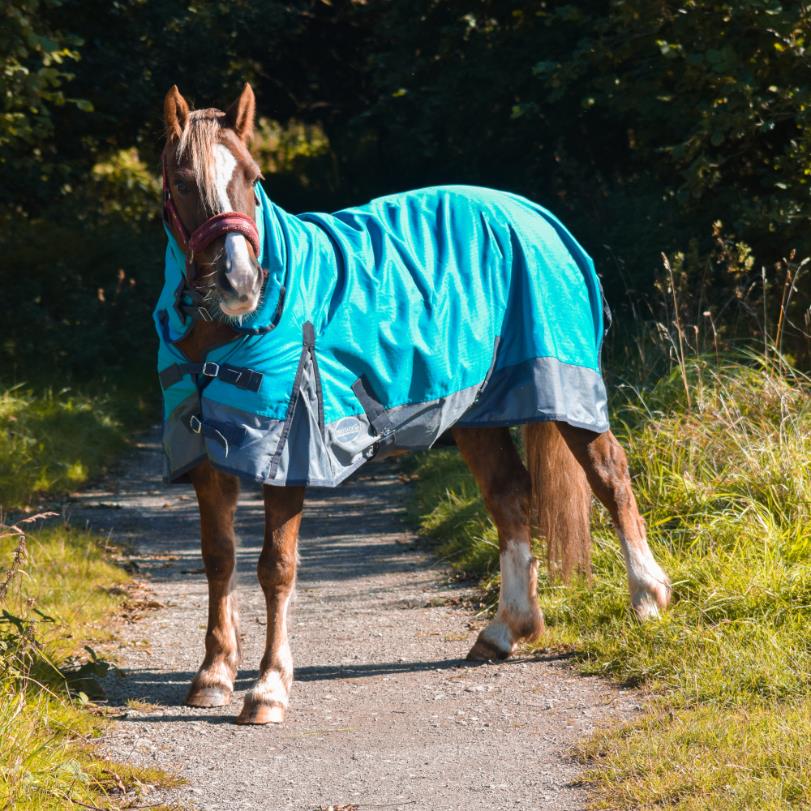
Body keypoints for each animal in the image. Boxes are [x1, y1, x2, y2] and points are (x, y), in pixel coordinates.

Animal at [157, 82, 671, 725]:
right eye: (182, 182)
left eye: (253, 177)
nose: (241, 283)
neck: (222, 337)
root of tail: (536, 216)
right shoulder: (204, 452)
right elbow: (219, 556)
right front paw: (214, 673)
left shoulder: (292, 452)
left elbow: (276, 567)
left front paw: (269, 687)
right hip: (477, 411)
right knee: (510, 495)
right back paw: (506, 630)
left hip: (562, 392)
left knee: (610, 475)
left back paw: (648, 599)